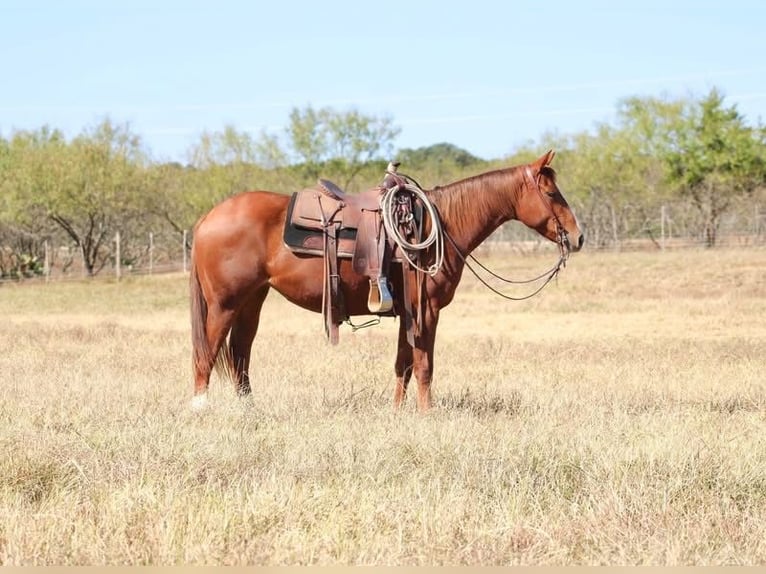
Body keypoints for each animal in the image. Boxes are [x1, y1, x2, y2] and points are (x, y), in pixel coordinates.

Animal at [189, 150, 583, 412]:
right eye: (551, 193)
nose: (578, 237)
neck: (441, 224)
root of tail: (208, 217)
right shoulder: (427, 309)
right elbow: (424, 364)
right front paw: (426, 413)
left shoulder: (408, 311)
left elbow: (402, 364)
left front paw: (397, 411)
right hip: (224, 305)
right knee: (206, 354)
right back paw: (201, 407)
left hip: (251, 301)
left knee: (240, 353)